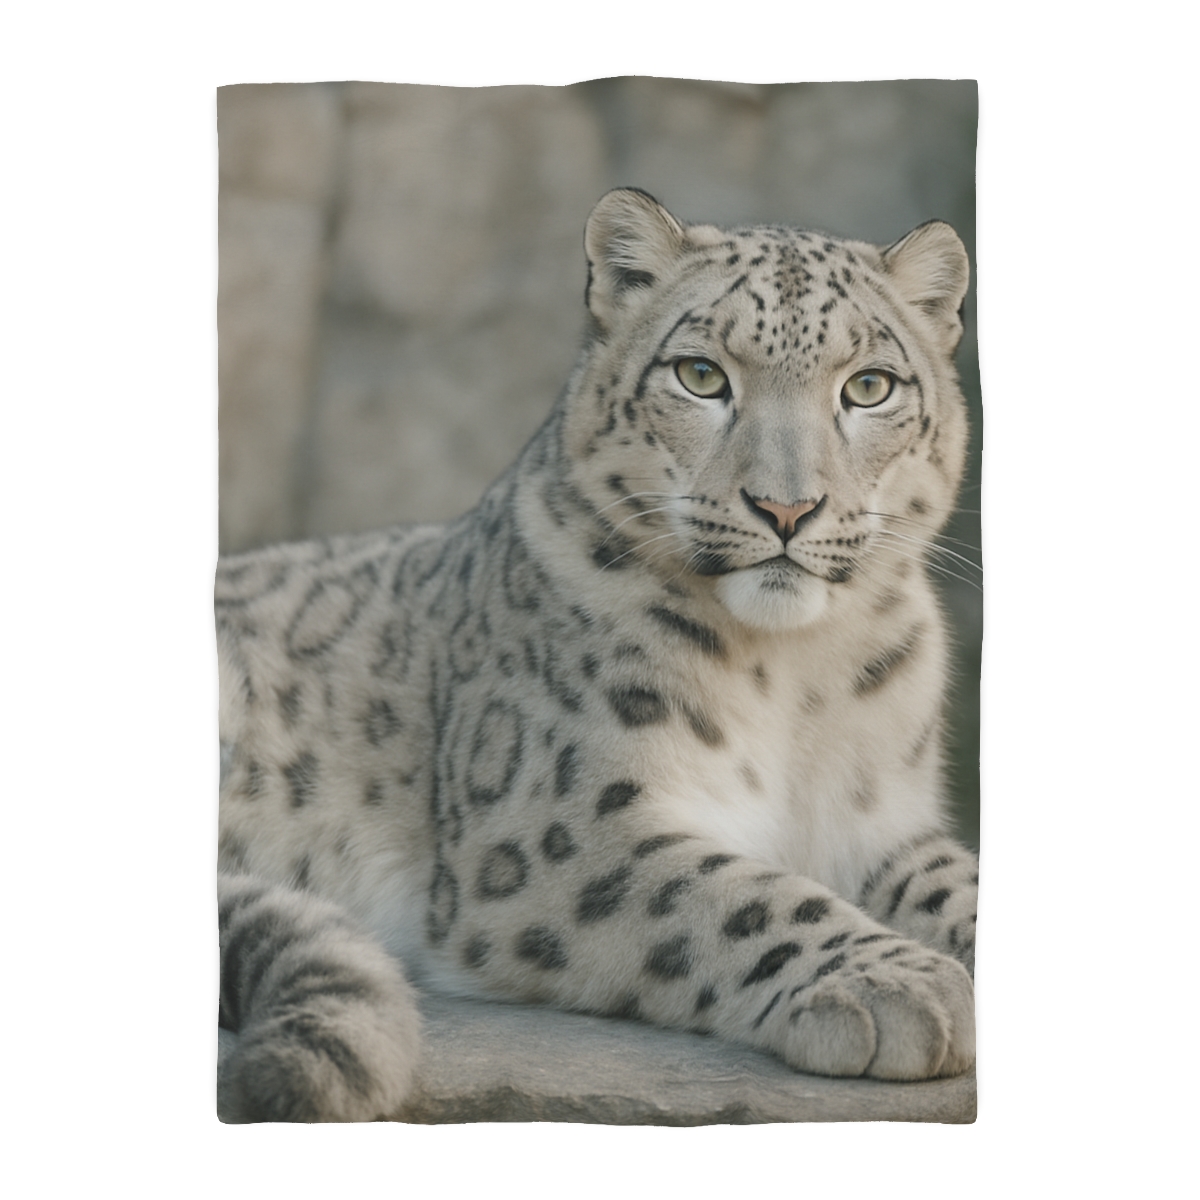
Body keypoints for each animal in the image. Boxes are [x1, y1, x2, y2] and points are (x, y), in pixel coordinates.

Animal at [217, 187, 979, 1123]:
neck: (795, 676)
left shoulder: (880, 822)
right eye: (701, 375)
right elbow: (737, 896)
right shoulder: (564, 826)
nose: (786, 508)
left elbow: (959, 880)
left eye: (869, 386)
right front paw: (897, 987)